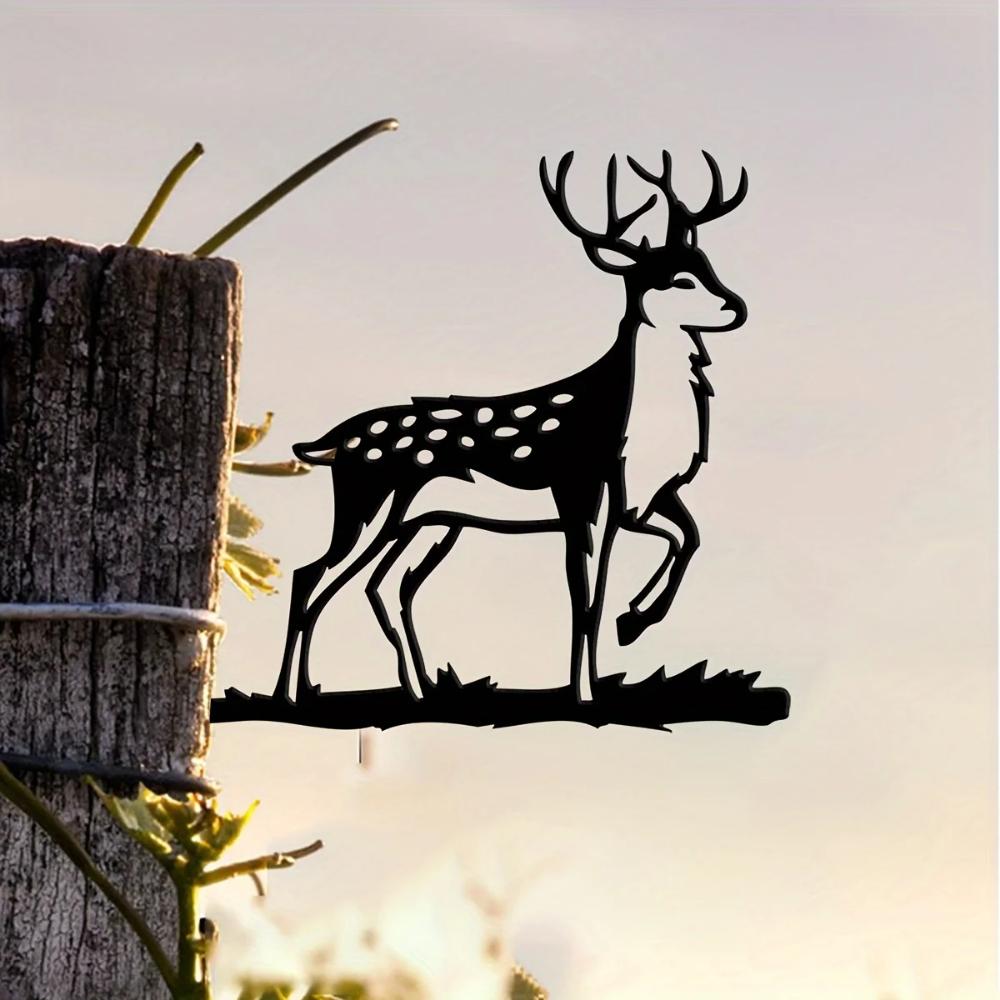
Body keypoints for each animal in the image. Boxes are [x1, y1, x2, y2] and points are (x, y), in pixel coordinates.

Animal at [272, 149, 748, 707]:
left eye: (706, 266)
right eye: (677, 280)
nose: (736, 307)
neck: (624, 428)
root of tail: (329, 444)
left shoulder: (640, 499)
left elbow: (685, 540)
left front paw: (631, 624)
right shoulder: (578, 489)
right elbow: (584, 597)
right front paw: (585, 694)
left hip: (429, 523)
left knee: (381, 586)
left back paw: (406, 690)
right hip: (369, 502)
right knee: (311, 576)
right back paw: (290, 695)